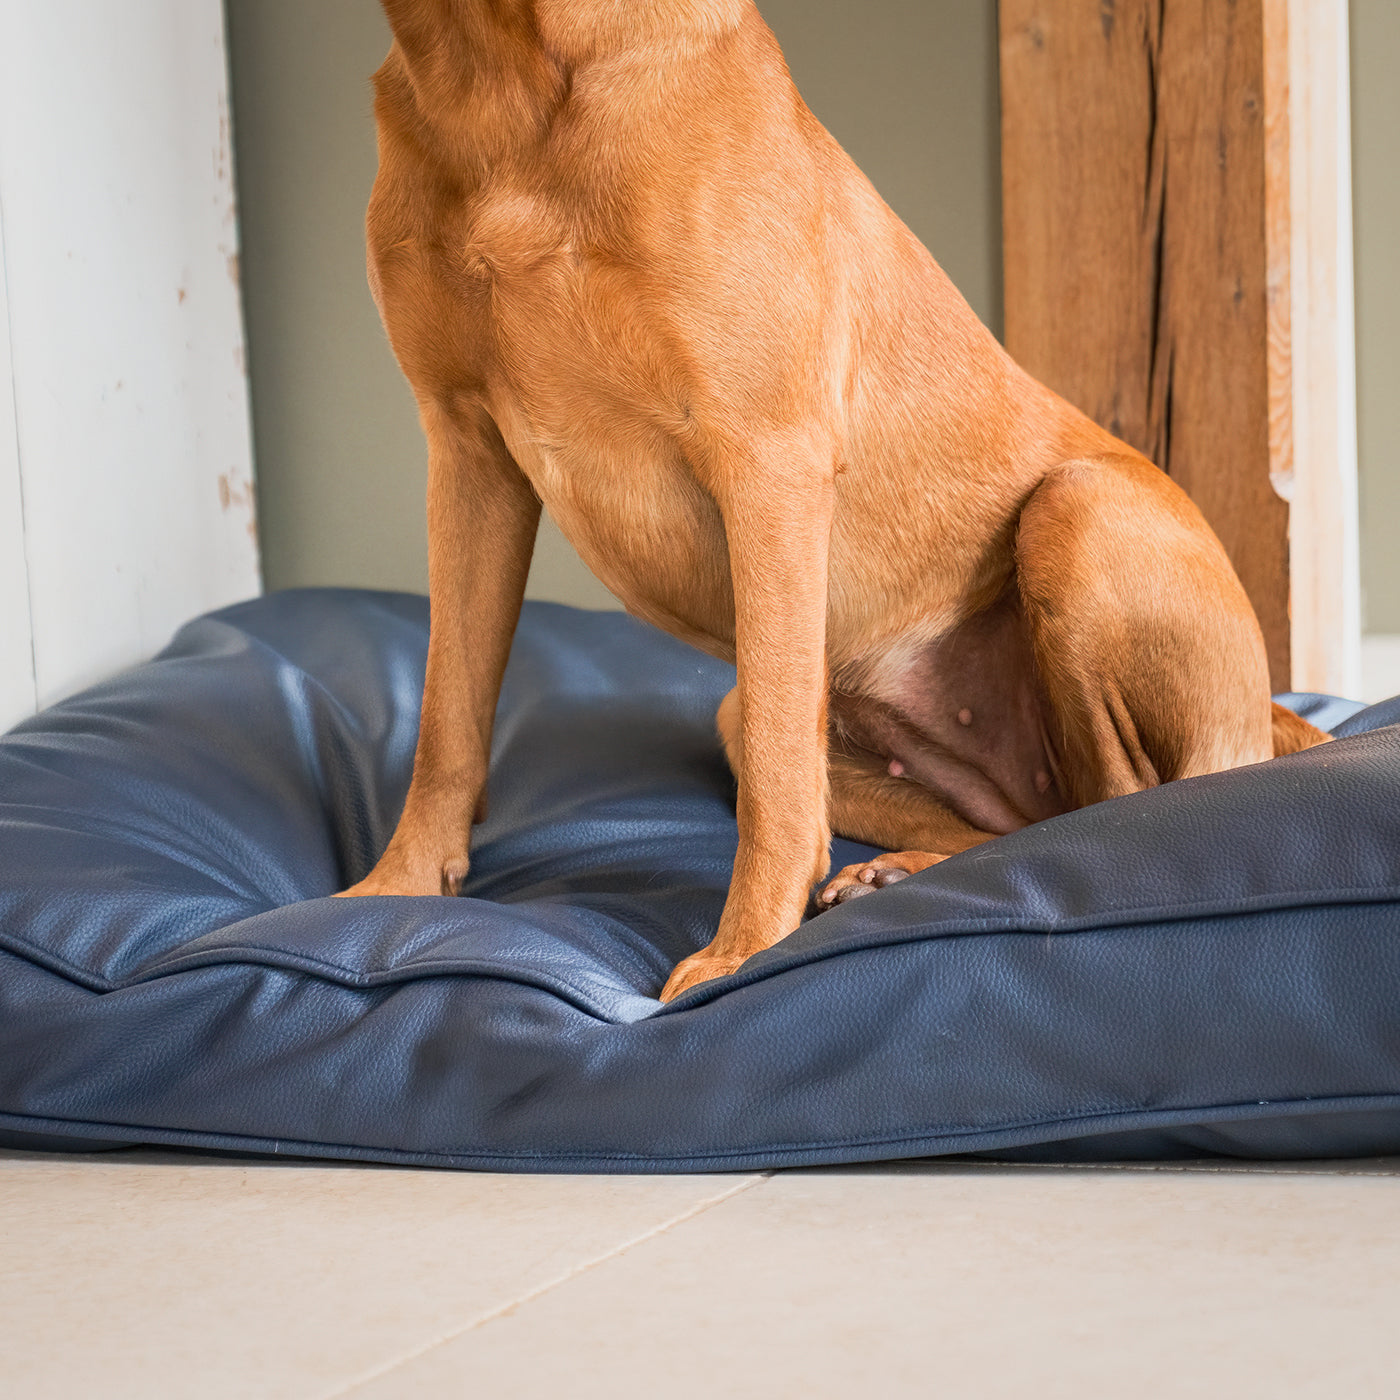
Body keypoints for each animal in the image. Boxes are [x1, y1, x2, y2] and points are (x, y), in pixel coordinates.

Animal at [341, 2, 1321, 1008]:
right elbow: (447, 718)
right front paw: (390, 896)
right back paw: (896, 874)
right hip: (754, 713)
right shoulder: (468, 455)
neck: (501, 74)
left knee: (1116, 811)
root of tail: (1270, 721)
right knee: (1015, 830)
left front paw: (742, 952)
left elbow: (778, 779)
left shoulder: (767, 457)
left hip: (1078, 510)